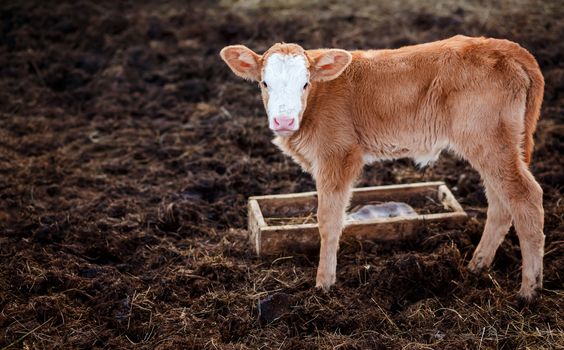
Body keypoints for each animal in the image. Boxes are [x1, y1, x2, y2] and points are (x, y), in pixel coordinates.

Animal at [221, 36, 548, 304]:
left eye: (305, 83)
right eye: (265, 83)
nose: (284, 121)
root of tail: (503, 46)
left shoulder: (338, 155)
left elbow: (328, 220)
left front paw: (324, 284)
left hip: (489, 141)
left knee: (526, 196)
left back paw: (528, 291)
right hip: (494, 145)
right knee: (501, 203)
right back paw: (476, 266)